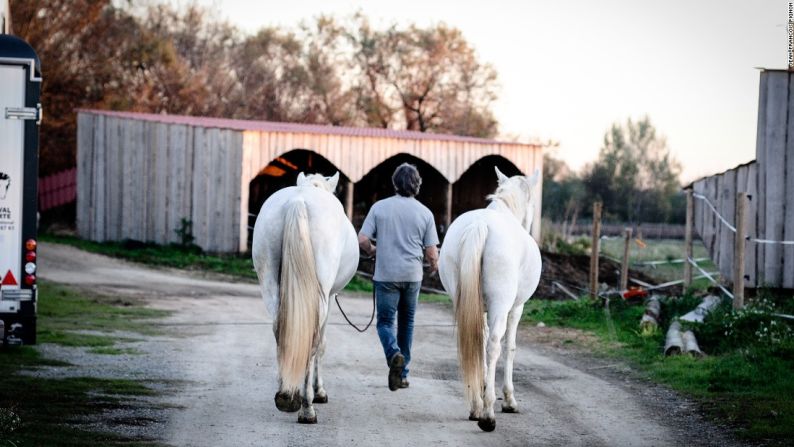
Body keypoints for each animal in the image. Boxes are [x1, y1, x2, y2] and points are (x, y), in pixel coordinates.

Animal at [252, 171, 358, 424]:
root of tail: (298, 200)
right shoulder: (330, 297)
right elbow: (322, 344)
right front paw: (319, 392)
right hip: (320, 295)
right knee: (311, 338)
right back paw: (307, 406)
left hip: (269, 284)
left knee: (280, 329)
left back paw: (286, 395)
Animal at [436, 166, 540, 432]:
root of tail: (479, 225)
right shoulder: (515, 309)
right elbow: (509, 348)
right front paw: (509, 401)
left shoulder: (480, 309)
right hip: (501, 306)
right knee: (493, 346)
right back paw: (488, 415)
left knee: (473, 344)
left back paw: (476, 407)